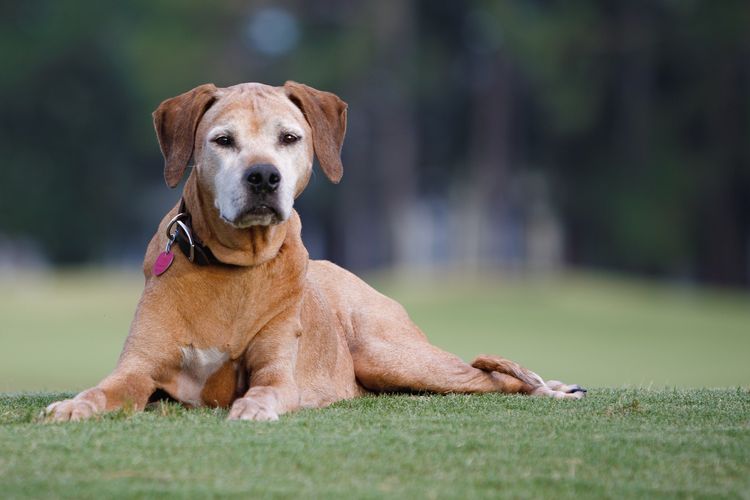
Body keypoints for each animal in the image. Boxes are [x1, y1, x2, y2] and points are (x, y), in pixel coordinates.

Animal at [45, 82, 588, 422]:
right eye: (223, 140)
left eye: (289, 137)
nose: (264, 176)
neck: (234, 267)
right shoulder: (139, 368)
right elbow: (111, 387)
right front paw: (77, 405)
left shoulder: (277, 369)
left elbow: (268, 385)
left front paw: (255, 407)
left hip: (391, 353)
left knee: (491, 377)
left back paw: (553, 389)